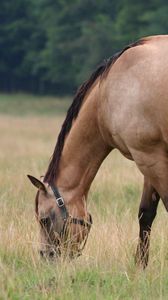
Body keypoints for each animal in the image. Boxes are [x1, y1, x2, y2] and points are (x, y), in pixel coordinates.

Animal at [27, 35, 168, 268]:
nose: (48, 257)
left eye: (45, 220)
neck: (108, 95)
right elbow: (146, 214)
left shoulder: (149, 157)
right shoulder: (150, 158)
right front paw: (140, 266)